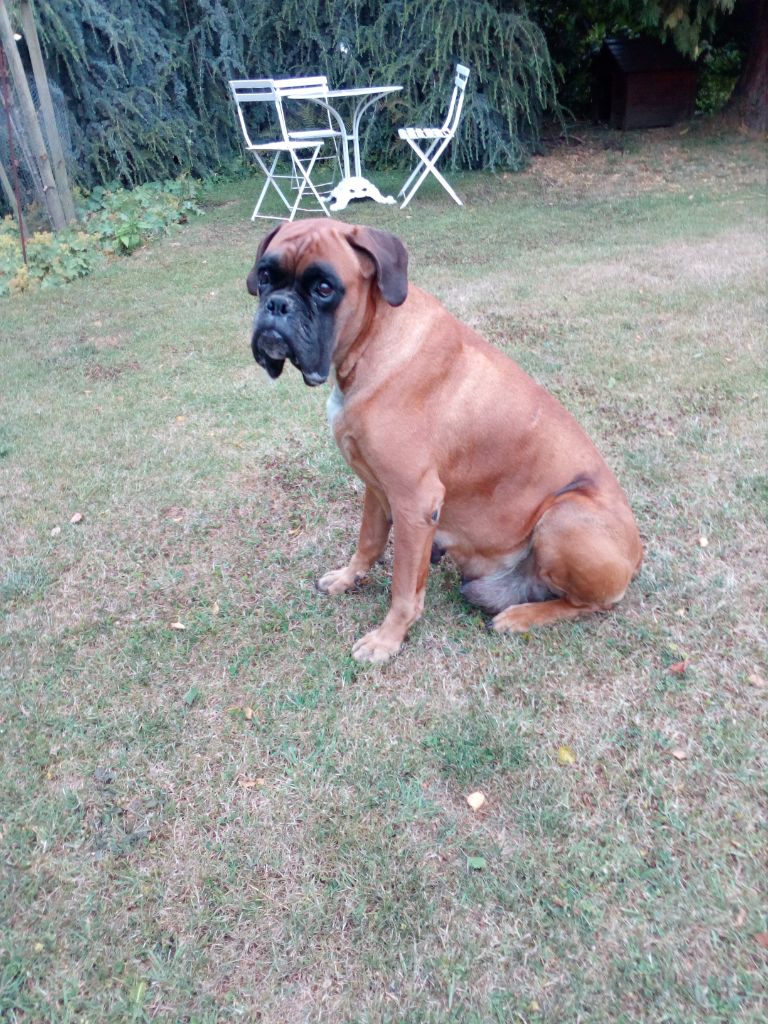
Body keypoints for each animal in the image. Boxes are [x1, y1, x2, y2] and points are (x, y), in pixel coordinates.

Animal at [247, 219, 643, 663]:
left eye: (324, 288)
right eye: (265, 276)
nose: (277, 306)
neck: (371, 342)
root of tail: (637, 555)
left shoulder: (415, 503)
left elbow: (404, 587)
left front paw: (387, 639)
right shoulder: (376, 488)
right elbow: (368, 542)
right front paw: (349, 578)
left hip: (566, 515)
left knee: (590, 604)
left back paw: (520, 616)